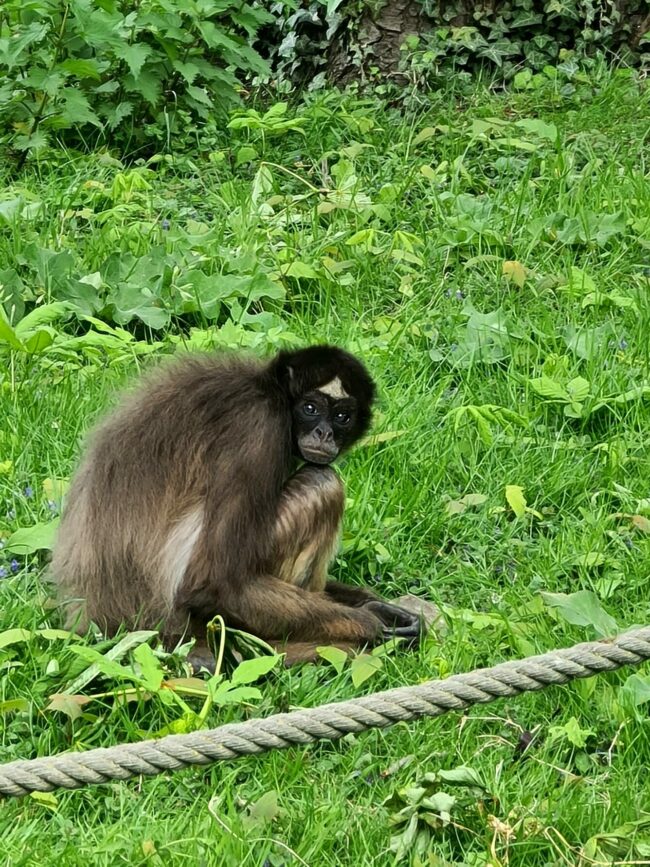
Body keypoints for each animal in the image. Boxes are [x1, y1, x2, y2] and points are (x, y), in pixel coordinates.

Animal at [54, 342, 420, 668]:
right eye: (310, 408)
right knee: (322, 481)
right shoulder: (259, 427)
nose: (324, 433)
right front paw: (371, 622)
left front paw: (380, 607)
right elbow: (214, 583)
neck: (269, 389)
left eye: (343, 416)